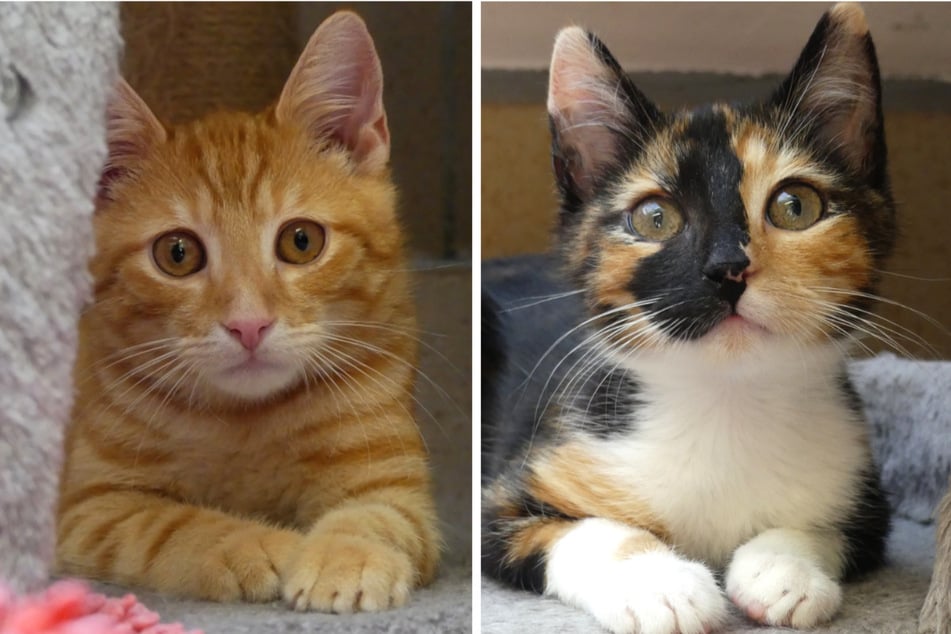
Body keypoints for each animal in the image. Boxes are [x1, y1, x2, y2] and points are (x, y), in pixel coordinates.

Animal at [60, 11, 442, 612]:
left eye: (301, 241)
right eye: (177, 253)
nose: (248, 324)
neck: (245, 420)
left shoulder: (390, 482)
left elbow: (377, 516)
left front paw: (346, 555)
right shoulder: (92, 509)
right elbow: (170, 525)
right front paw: (263, 545)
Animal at [488, 4, 896, 632]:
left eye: (795, 206)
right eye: (654, 218)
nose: (727, 268)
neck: (725, 401)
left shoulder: (870, 499)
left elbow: (831, 530)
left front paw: (785, 569)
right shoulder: (501, 497)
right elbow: (593, 532)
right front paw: (658, 583)